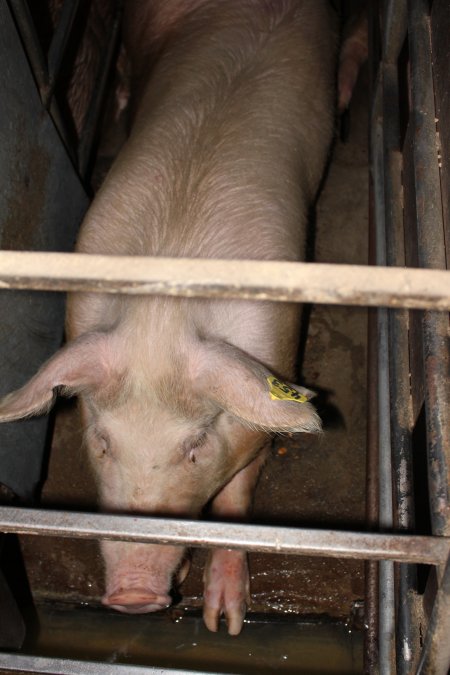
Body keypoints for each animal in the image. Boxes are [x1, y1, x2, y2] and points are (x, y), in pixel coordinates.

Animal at [0, 0, 338, 632]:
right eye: (103, 440)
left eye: (195, 445)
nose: (132, 597)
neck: (163, 314)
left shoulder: (268, 373)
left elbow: (236, 499)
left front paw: (225, 622)